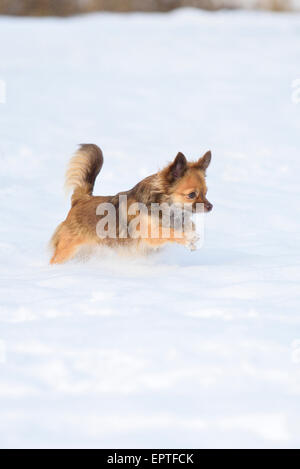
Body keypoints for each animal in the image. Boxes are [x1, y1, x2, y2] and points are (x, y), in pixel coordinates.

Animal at [49, 144, 213, 264]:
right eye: (191, 195)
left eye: (206, 192)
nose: (210, 207)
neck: (166, 209)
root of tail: (82, 199)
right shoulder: (150, 234)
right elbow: (168, 232)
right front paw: (189, 238)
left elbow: (187, 226)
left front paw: (191, 237)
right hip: (67, 252)